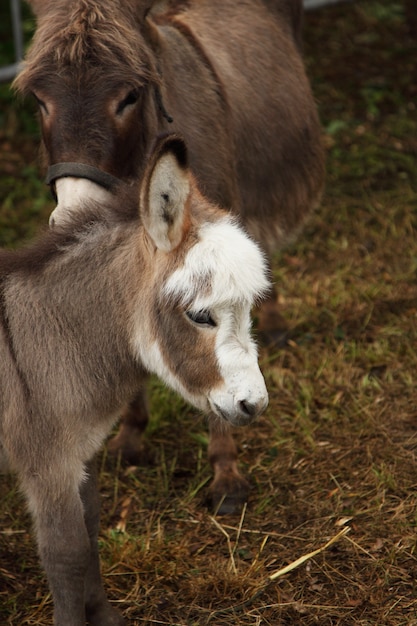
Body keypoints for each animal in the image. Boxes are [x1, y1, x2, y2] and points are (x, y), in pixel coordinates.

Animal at [0, 134, 266, 620]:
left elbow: (90, 530)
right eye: (200, 315)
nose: (254, 405)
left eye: (248, 309)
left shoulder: (81, 454)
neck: (42, 337)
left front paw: (105, 617)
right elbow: (66, 553)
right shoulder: (47, 464)